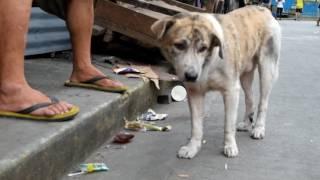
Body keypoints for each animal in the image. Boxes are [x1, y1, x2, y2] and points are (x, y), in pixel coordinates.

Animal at [150, 4, 280, 158]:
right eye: (179, 45)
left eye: (203, 48)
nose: (192, 76)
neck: (208, 63)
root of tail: (263, 9)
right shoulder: (194, 93)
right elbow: (196, 125)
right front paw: (193, 147)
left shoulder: (231, 91)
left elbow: (228, 124)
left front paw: (230, 146)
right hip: (245, 75)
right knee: (250, 99)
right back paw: (247, 123)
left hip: (267, 68)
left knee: (263, 103)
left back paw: (259, 128)